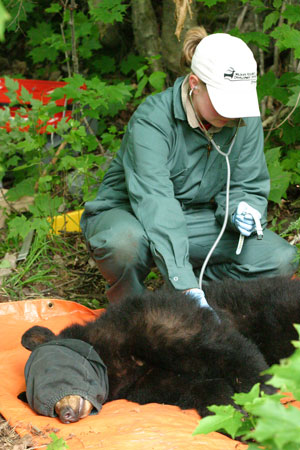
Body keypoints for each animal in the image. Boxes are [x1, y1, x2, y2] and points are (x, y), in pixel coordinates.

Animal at [21, 276, 300, 424]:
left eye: (54, 377)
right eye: (44, 408)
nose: (65, 415)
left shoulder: (156, 319)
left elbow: (233, 353)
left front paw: (260, 404)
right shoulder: (152, 382)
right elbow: (204, 388)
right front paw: (232, 414)